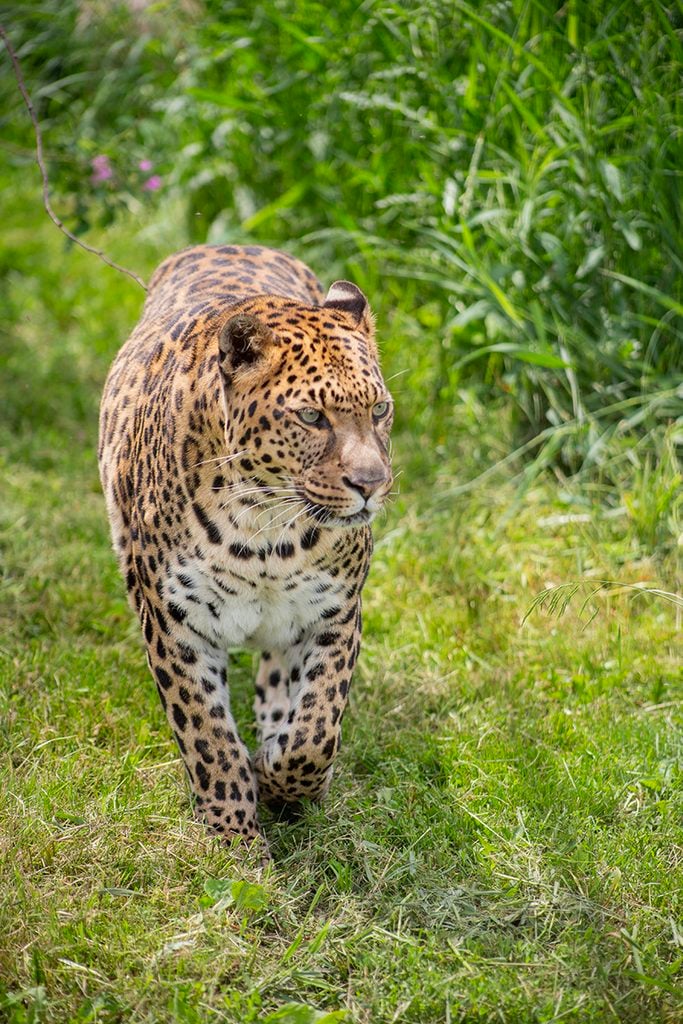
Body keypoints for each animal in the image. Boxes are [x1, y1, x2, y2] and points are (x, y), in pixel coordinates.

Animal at [98, 243, 394, 853]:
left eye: (379, 410)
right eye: (311, 416)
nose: (372, 483)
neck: (267, 533)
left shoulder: (336, 613)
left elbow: (318, 727)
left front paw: (283, 779)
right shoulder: (174, 623)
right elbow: (208, 735)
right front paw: (233, 832)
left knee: (279, 673)